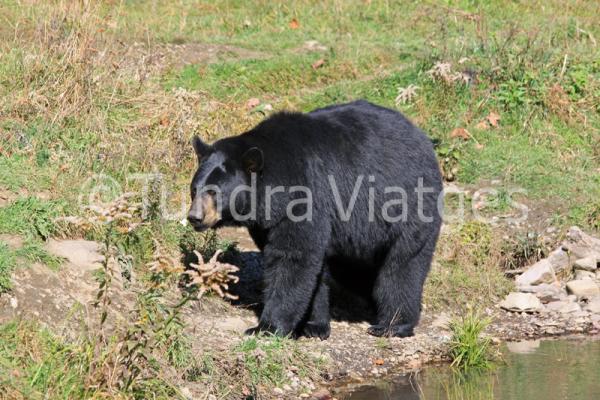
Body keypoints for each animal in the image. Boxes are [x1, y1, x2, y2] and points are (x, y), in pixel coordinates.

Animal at [190, 100, 442, 338]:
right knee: (355, 271)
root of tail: (424, 139)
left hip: (407, 204)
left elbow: (292, 258)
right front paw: (313, 326)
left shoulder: (305, 194)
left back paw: (393, 324)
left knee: (402, 265)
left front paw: (267, 326)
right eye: (194, 189)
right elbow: (313, 270)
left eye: (214, 192)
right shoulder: (268, 221)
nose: (194, 217)